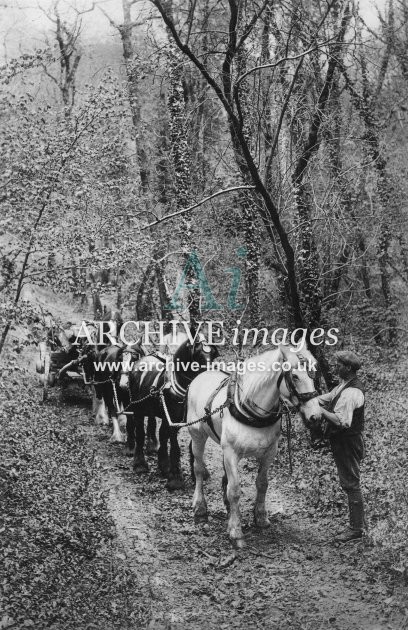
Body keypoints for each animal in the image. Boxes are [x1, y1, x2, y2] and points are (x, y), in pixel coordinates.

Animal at [119, 338, 218, 492]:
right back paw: (140, 464)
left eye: (213, 355)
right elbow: (175, 447)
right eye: (197, 356)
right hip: (139, 409)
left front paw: (197, 472)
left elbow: (192, 446)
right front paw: (175, 479)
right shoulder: (172, 420)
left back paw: (163, 464)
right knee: (140, 433)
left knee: (161, 434)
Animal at [187, 346, 322, 548]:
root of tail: (200, 376)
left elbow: (262, 484)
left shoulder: (269, 452)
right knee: (198, 469)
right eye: (295, 376)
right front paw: (236, 531)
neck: (251, 411)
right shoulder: (231, 453)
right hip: (197, 436)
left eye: (314, 374)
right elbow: (235, 490)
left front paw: (260, 517)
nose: (315, 416)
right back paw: (200, 506)